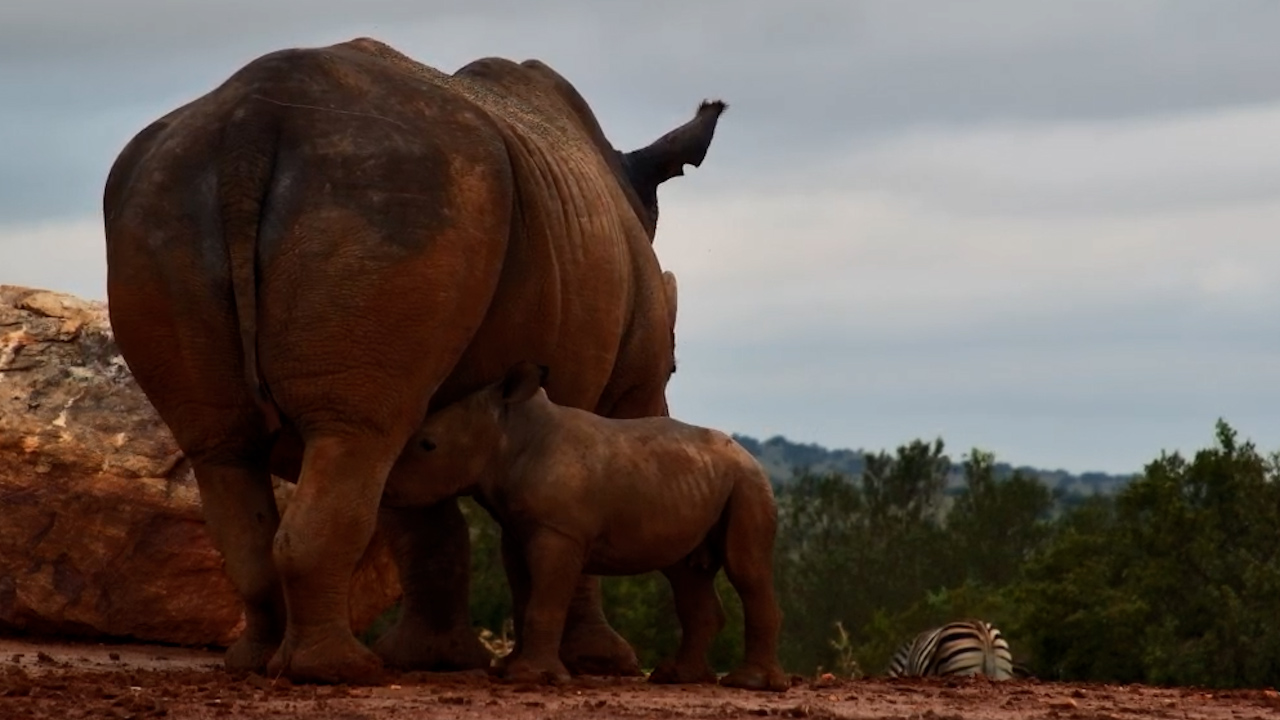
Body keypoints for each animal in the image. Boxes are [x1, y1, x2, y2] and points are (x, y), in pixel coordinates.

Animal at [102, 37, 725, 684]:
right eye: (673, 371)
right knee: (355, 435)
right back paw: (342, 671)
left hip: (167, 201)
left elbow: (420, 514)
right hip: (393, 194)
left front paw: (438, 660)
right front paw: (601, 664)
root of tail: (252, 120)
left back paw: (260, 663)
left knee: (235, 447)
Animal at [386, 361, 789, 691]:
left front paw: (532, 677)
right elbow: (526, 596)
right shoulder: (522, 529)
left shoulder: (559, 532)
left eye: (427, 445)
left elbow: (546, 600)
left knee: (745, 568)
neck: (511, 433)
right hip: (701, 482)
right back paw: (676, 676)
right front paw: (514, 671)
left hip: (749, 482)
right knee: (685, 571)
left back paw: (750, 684)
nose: (388, 490)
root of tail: (746, 455)